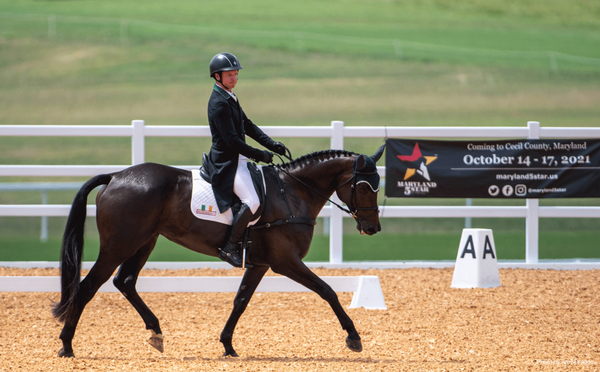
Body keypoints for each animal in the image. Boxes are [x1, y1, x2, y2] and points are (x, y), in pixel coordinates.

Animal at [51, 145, 384, 358]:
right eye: (364, 186)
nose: (373, 228)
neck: (292, 192)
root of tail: (116, 176)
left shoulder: (260, 263)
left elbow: (240, 301)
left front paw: (227, 345)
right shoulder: (285, 261)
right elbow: (327, 290)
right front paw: (353, 337)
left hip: (144, 241)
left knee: (125, 282)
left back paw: (156, 332)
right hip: (120, 244)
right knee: (87, 287)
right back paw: (66, 345)